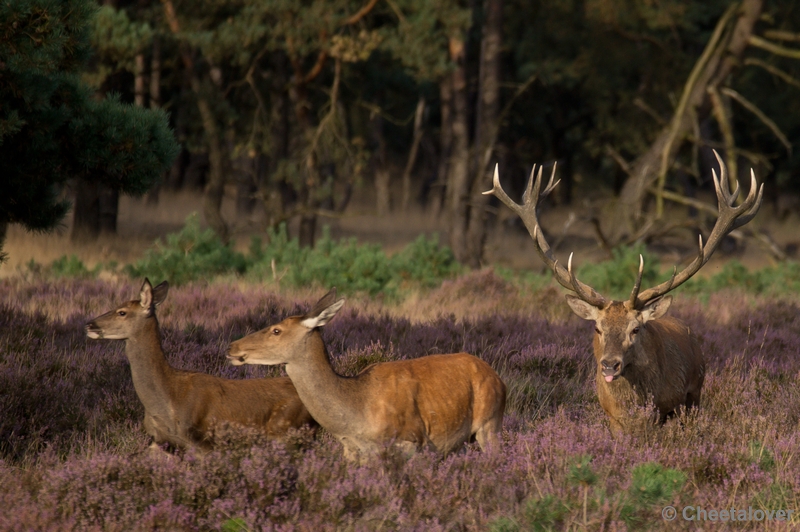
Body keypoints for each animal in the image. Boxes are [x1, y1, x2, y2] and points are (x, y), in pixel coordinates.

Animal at [85, 278, 316, 454]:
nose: (89, 324)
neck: (166, 399)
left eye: (122, 312)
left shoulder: (201, 440)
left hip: (287, 431)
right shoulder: (160, 442)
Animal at [225, 288, 504, 460]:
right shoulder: (351, 450)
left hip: (490, 422)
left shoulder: (412, 441)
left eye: (276, 330)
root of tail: (499, 377)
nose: (232, 347)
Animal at [484, 152, 764, 434]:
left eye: (635, 329)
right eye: (597, 328)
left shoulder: (664, 409)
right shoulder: (612, 417)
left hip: (694, 393)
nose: (609, 365)